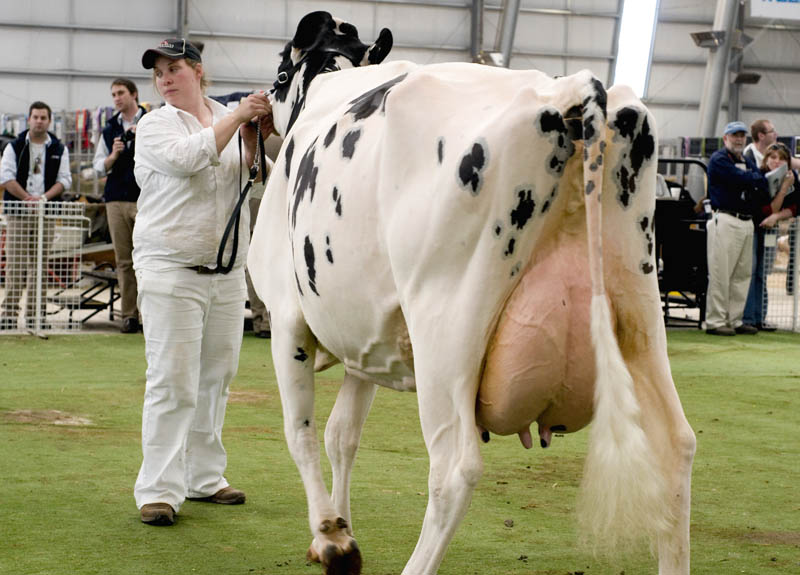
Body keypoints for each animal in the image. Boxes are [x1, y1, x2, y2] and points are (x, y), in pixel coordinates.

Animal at [248, 11, 696, 575]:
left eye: (282, 76)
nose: (260, 104)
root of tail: (573, 88)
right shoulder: (366, 344)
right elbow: (341, 436)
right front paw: (342, 529)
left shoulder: (288, 318)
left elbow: (302, 433)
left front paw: (332, 537)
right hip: (638, 310)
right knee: (676, 447)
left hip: (446, 332)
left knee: (454, 468)